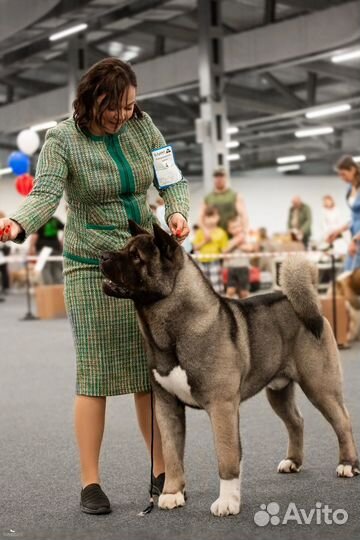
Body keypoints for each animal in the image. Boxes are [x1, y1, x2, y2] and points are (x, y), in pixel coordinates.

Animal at [100, 221, 358, 516]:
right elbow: (171, 452)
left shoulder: (221, 406)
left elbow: (227, 455)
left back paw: (347, 464)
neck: (175, 329)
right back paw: (292, 461)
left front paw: (227, 502)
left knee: (342, 421)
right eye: (124, 248)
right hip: (278, 391)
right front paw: (172, 493)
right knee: (296, 420)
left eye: (136, 257)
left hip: (319, 385)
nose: (102, 256)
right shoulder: (167, 406)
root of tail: (307, 305)